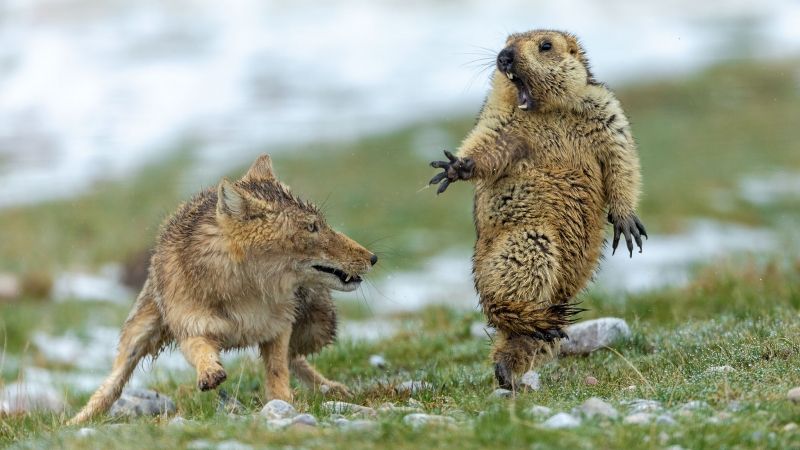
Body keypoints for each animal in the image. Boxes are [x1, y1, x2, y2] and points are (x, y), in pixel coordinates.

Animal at [69, 154, 377, 424]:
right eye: (312, 228)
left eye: (321, 224)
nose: (373, 257)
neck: (245, 294)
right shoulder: (191, 328)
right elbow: (201, 351)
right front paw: (210, 373)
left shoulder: (278, 327)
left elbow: (278, 370)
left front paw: (283, 402)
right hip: (138, 334)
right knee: (112, 384)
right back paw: (77, 421)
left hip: (317, 328)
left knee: (296, 358)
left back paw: (331, 388)